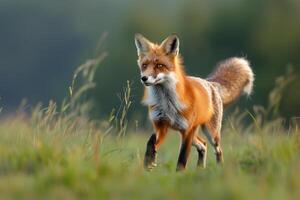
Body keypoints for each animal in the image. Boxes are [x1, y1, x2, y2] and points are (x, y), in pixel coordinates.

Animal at [135, 33, 254, 171]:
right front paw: (148, 161)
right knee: (203, 144)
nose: (144, 78)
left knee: (218, 150)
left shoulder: (187, 131)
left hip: (211, 133)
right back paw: (200, 169)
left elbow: (182, 159)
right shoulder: (161, 125)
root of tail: (210, 82)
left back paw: (219, 169)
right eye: (144, 65)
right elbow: (151, 140)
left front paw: (178, 174)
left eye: (159, 65)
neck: (167, 104)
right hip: (190, 134)